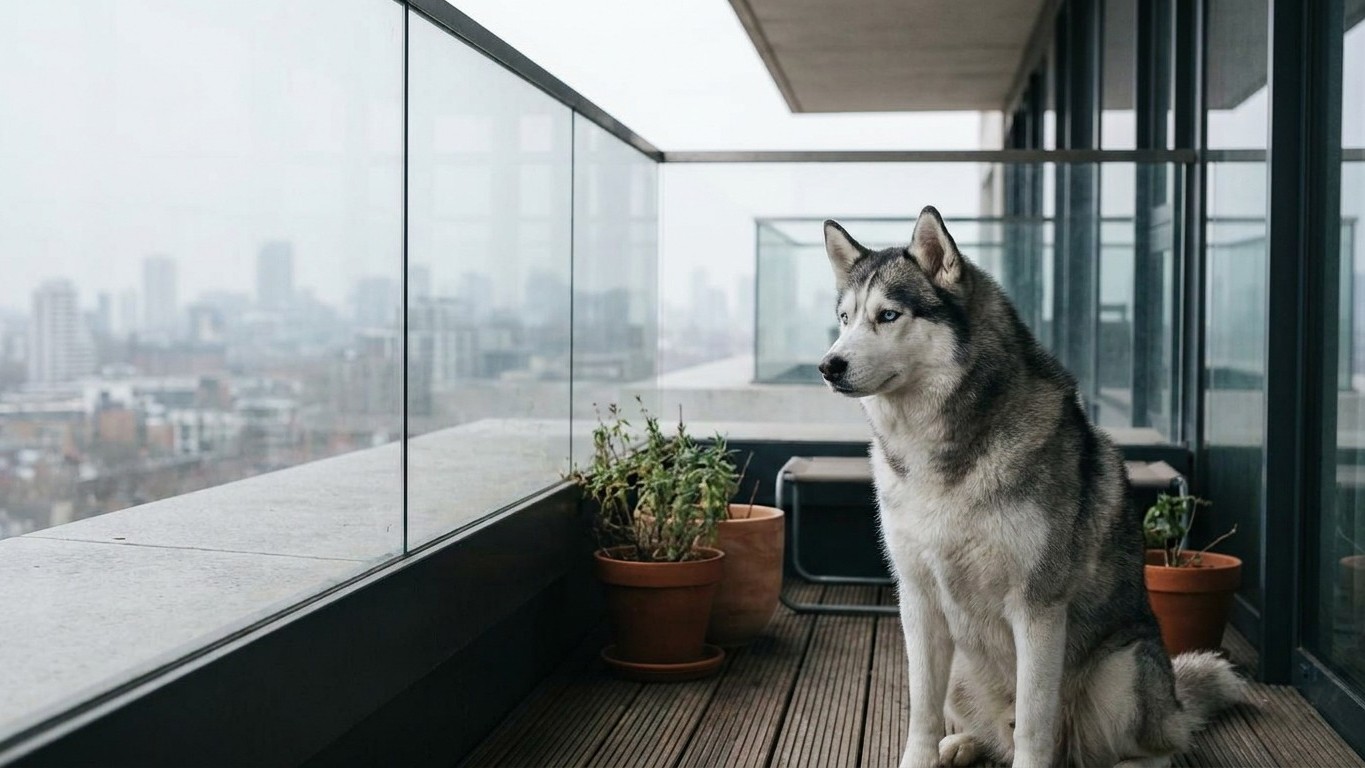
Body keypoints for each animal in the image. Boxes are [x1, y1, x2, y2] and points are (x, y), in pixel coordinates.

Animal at [818, 207, 1245, 768]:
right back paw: (961, 744)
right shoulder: (918, 601)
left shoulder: (1037, 607)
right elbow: (922, 714)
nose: (829, 366)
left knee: (1153, 748)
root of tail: (1173, 702)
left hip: (1123, 671)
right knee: (989, 728)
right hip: (962, 667)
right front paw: (925, 753)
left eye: (888, 315)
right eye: (845, 319)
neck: (942, 453)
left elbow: (1034, 726)